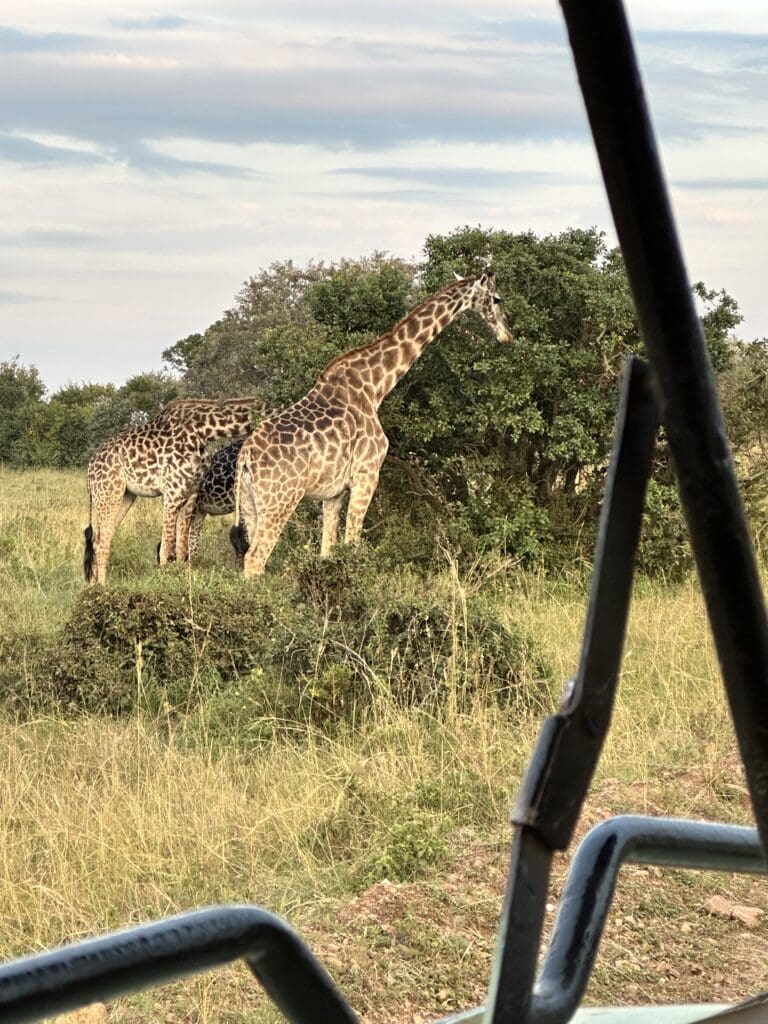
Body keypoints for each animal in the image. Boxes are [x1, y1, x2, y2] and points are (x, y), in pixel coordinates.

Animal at [83, 395, 264, 581]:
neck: (205, 432)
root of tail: (90, 468)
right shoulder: (172, 492)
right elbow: (166, 547)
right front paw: (166, 581)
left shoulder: (192, 493)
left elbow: (181, 547)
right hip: (109, 492)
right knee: (102, 541)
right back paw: (103, 586)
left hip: (126, 496)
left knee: (100, 538)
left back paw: (94, 583)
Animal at [231, 272, 514, 577]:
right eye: (497, 299)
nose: (507, 335)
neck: (374, 387)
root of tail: (246, 456)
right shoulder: (367, 473)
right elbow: (352, 542)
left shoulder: (333, 493)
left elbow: (327, 551)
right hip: (280, 500)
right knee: (255, 558)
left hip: (249, 504)